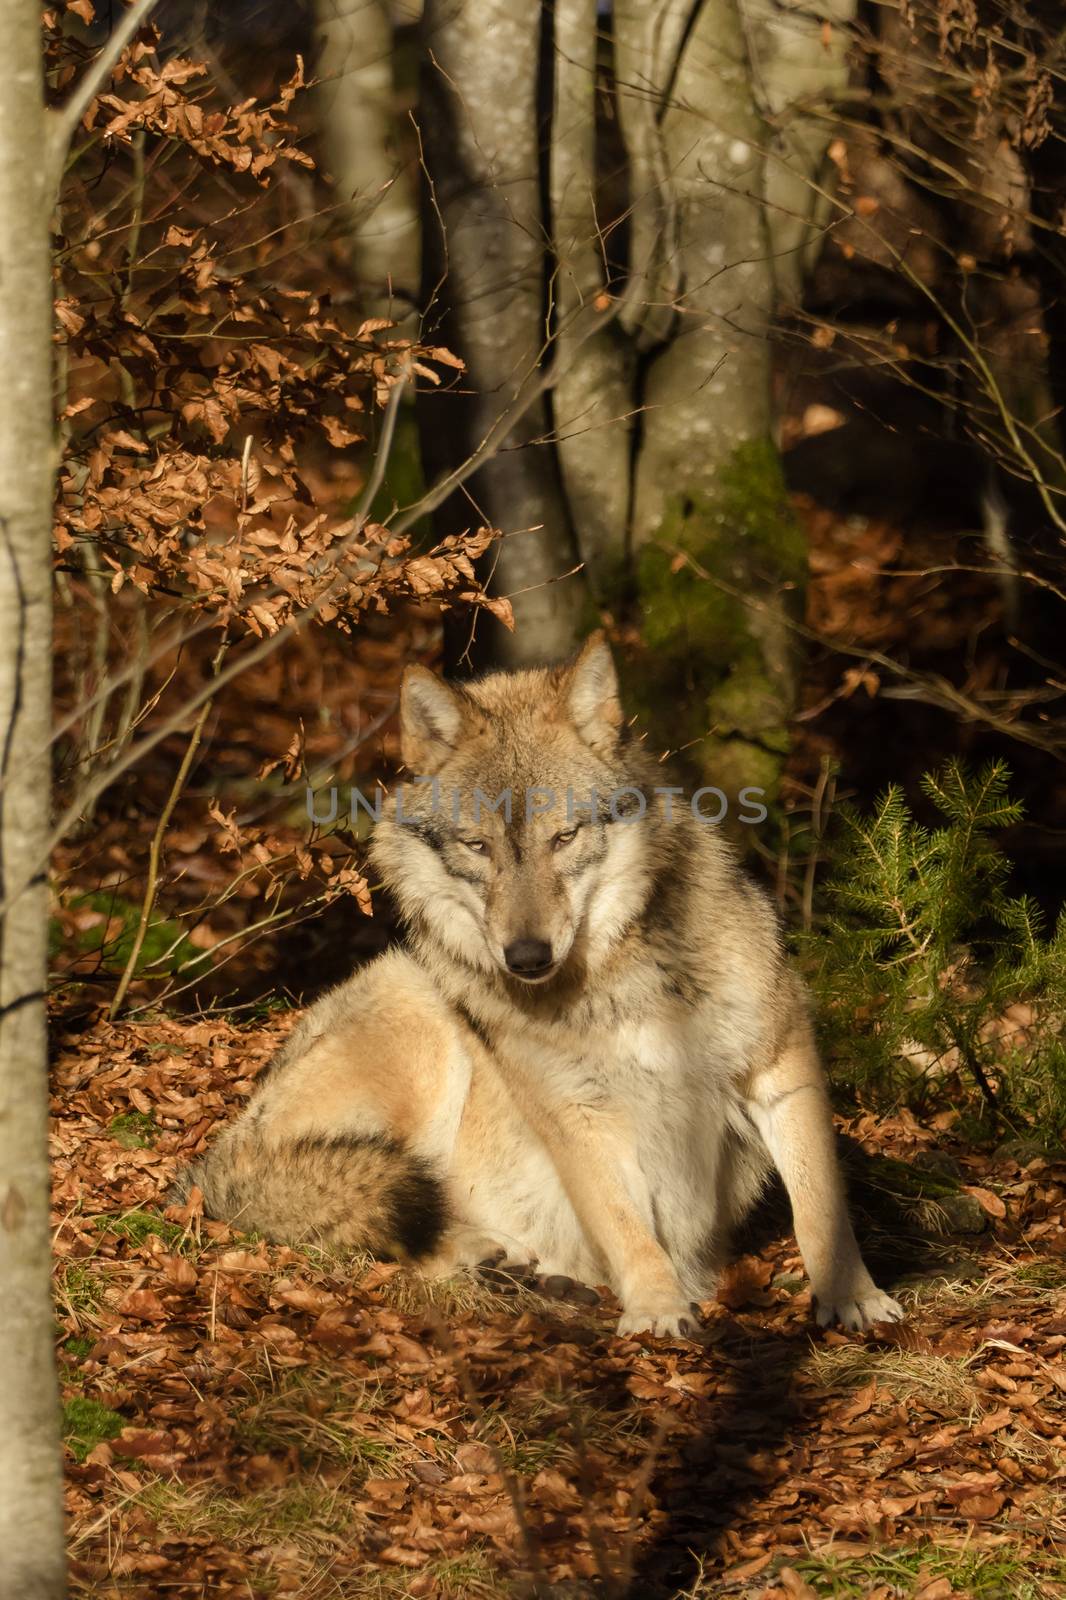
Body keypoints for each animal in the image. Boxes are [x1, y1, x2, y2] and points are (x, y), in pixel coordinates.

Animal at [178, 633, 902, 1337]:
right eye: (478, 847)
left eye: (564, 837)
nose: (526, 957)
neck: (617, 983)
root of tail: (221, 1153)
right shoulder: (576, 1117)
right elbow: (626, 1227)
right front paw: (657, 1310)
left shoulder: (781, 1067)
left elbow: (819, 1206)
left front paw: (853, 1298)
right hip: (415, 1020)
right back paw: (492, 1261)